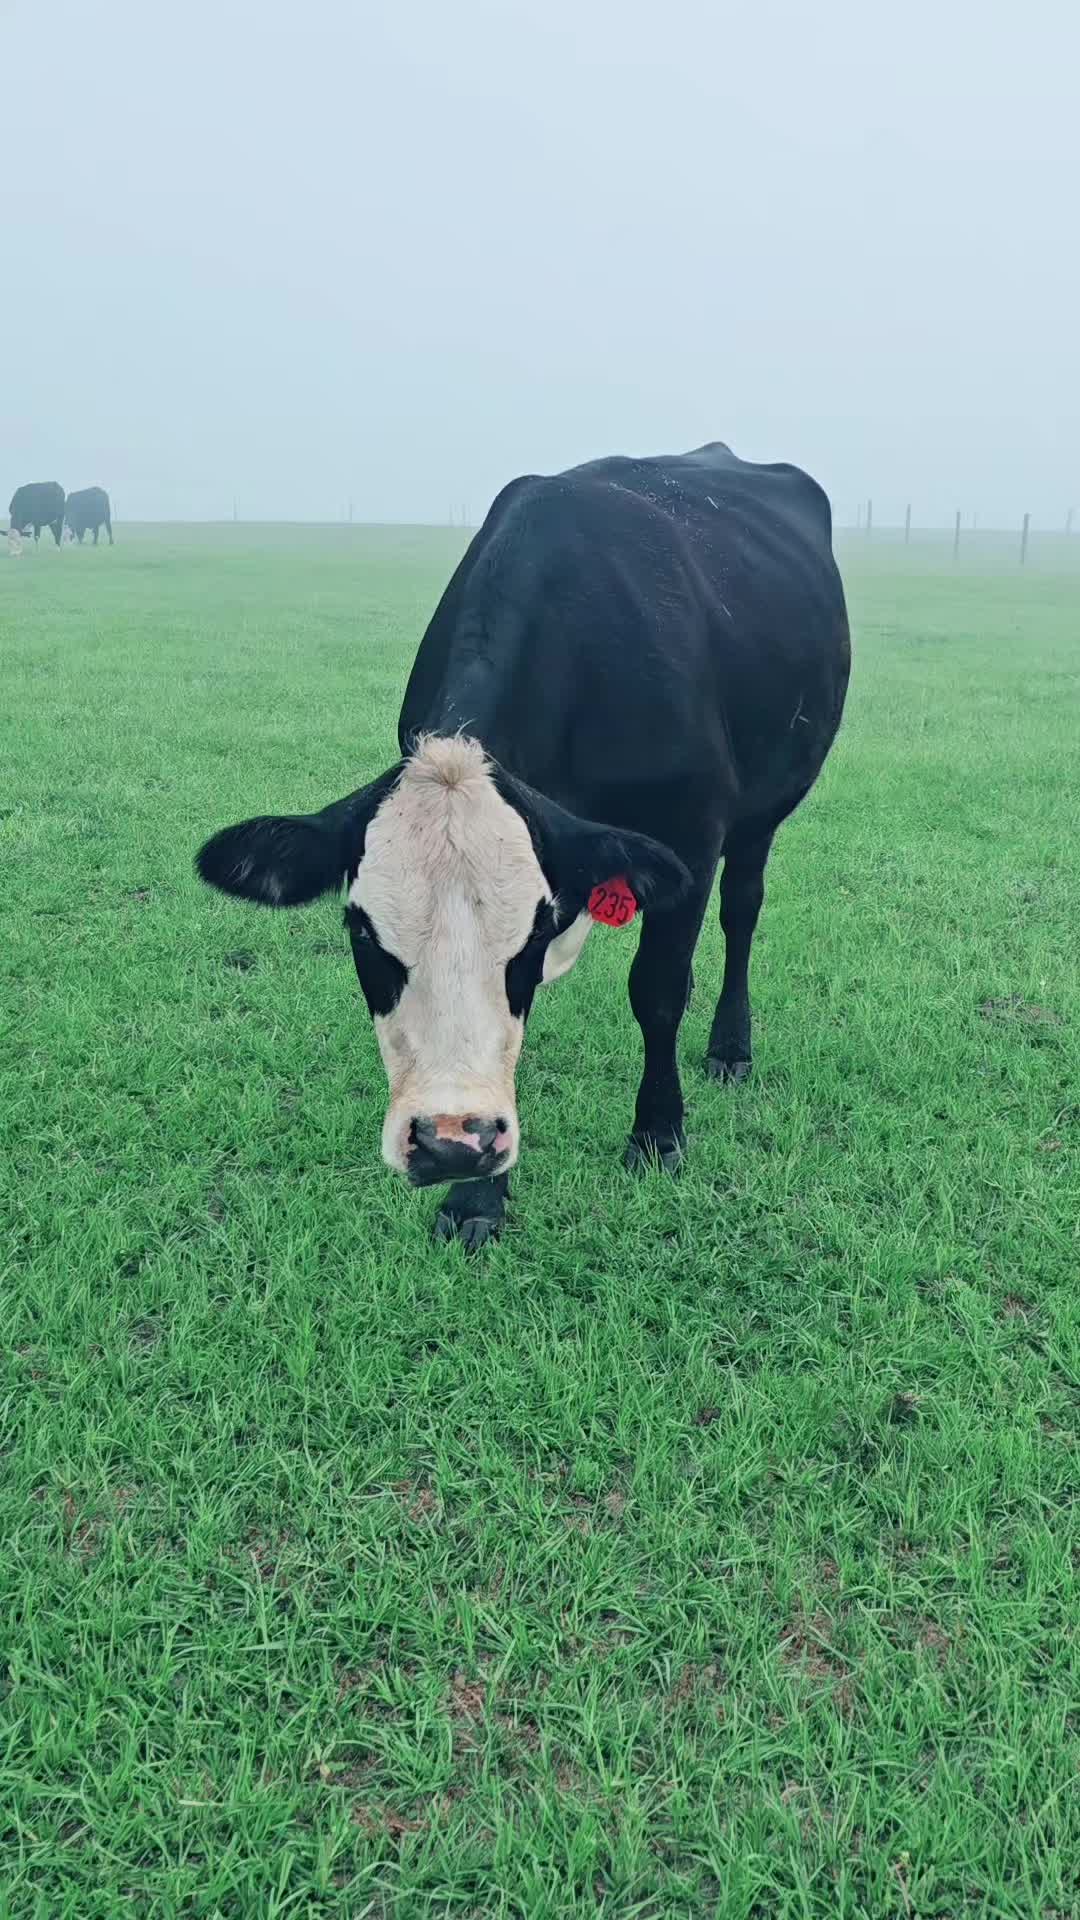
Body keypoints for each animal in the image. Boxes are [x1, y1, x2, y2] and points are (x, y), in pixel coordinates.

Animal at [198, 443, 851, 1248]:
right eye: (360, 930)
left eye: (535, 928)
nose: (447, 1144)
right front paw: (477, 1195)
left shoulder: (692, 837)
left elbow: (659, 990)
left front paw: (658, 1133)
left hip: (766, 808)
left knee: (742, 911)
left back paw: (731, 1047)